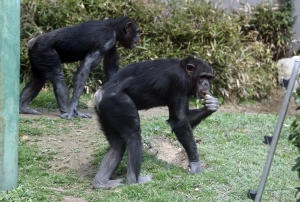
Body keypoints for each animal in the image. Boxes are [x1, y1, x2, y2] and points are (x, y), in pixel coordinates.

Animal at [92, 56, 219, 189]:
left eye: (209, 77)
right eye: (202, 77)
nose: (206, 83)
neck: (186, 72)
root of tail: (98, 95)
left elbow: (183, 118)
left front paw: (212, 105)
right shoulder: (180, 82)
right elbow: (179, 121)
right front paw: (195, 165)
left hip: (106, 112)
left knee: (117, 145)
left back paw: (102, 183)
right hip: (117, 102)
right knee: (133, 135)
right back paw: (134, 180)